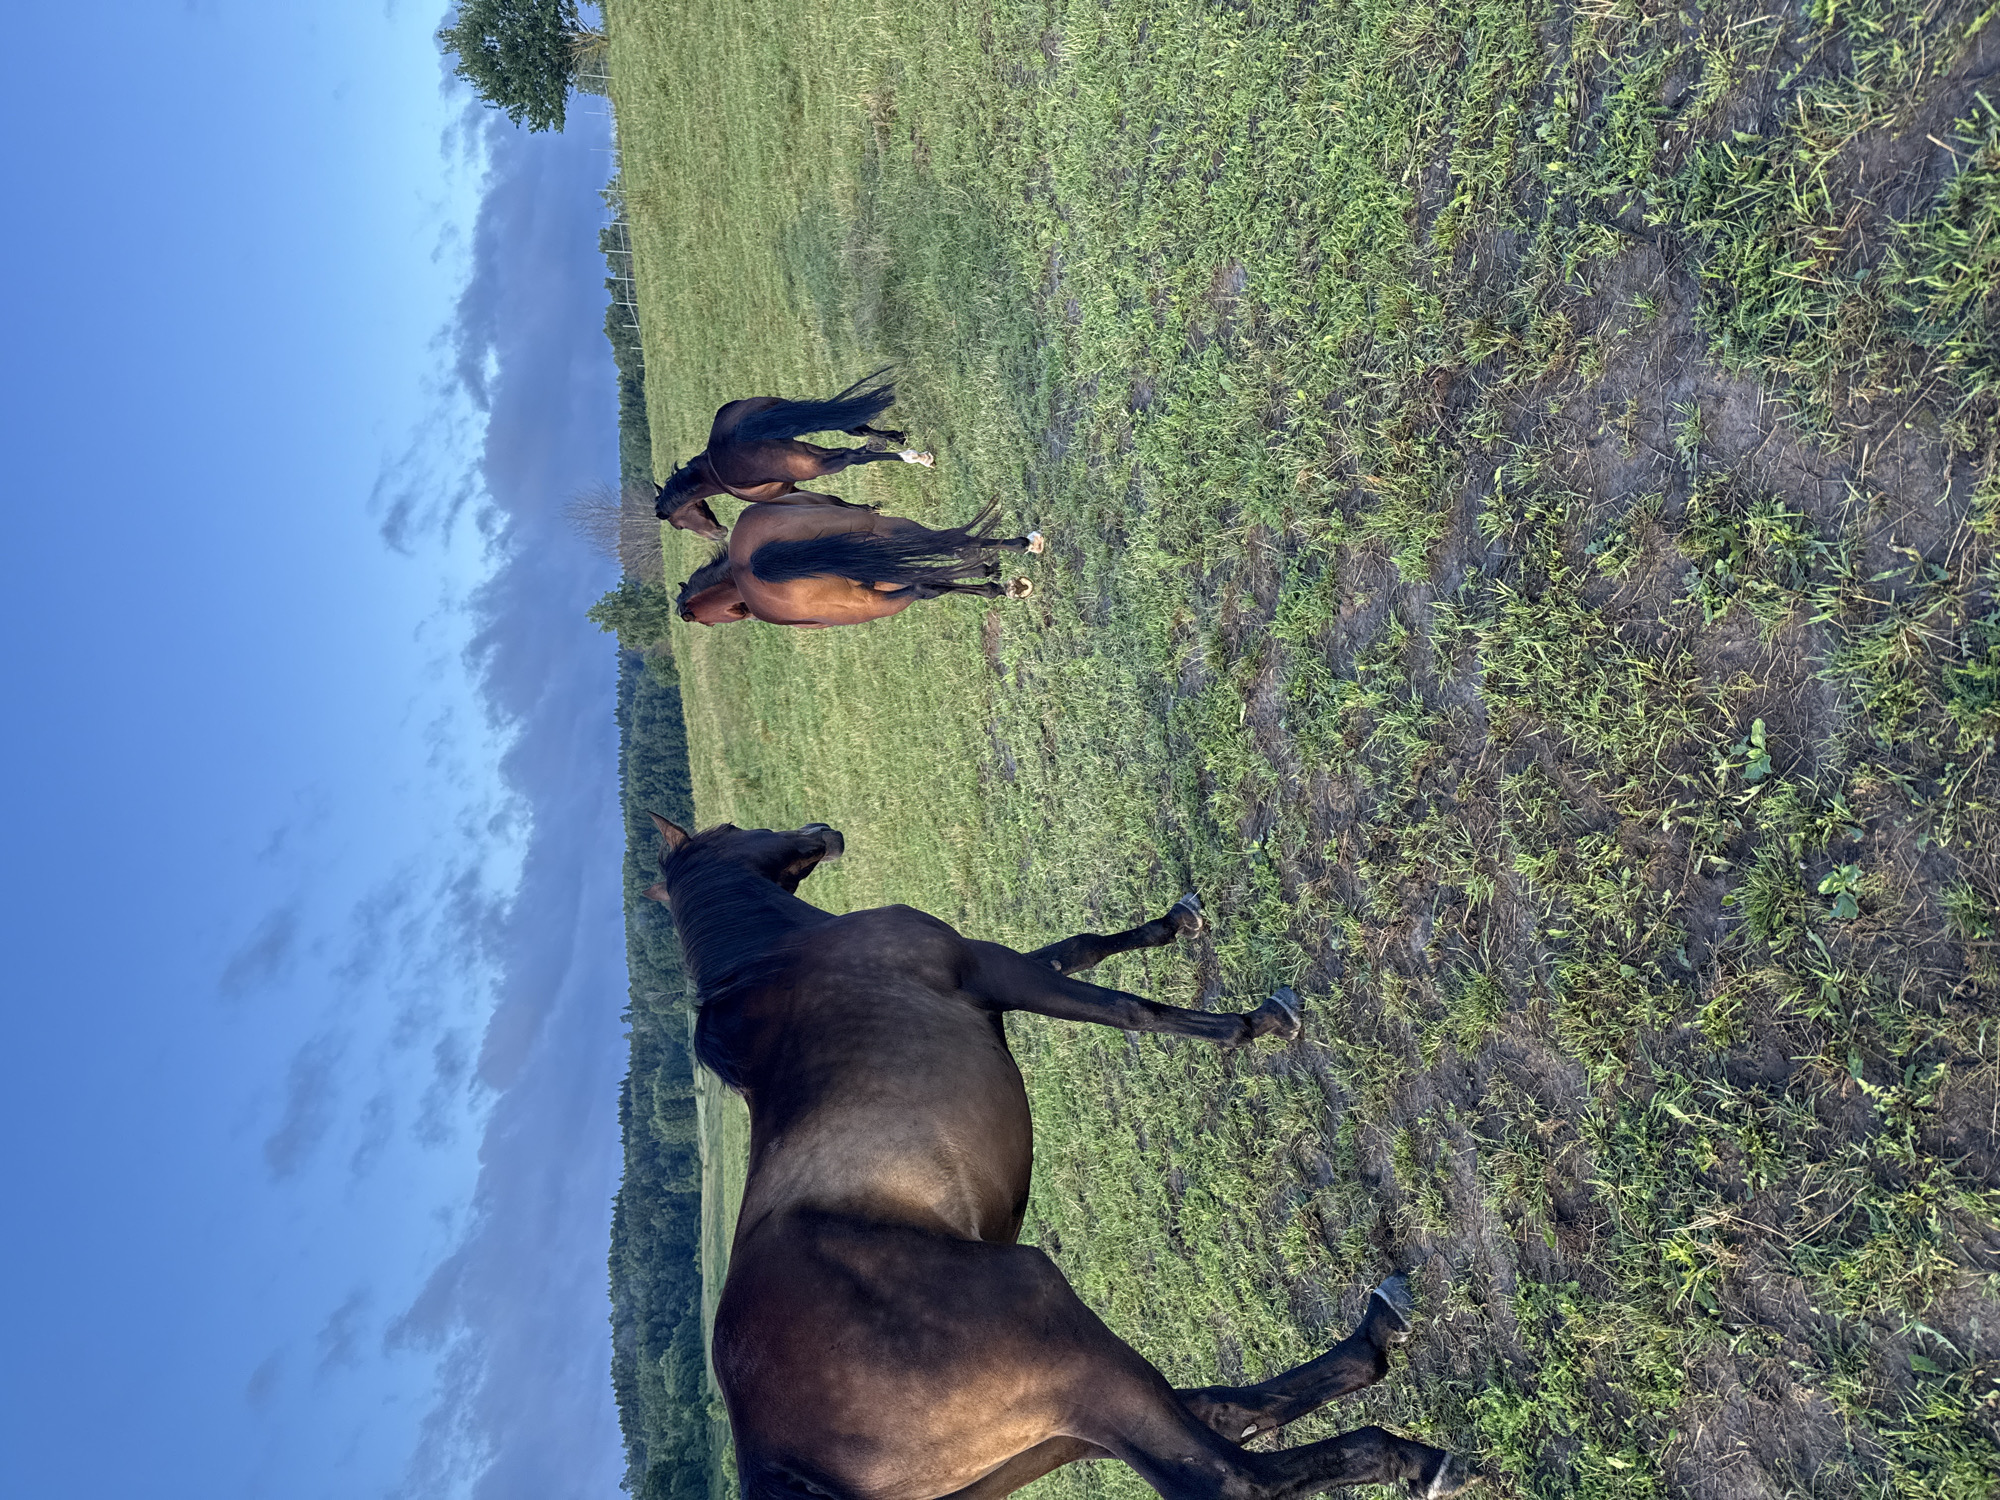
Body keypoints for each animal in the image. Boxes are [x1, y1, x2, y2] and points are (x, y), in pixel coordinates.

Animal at [642, 816, 1476, 1500]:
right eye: (731, 828)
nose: (822, 832)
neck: (776, 960)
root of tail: (769, 1458)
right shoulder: (991, 968)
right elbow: (1131, 1009)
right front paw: (1256, 1023)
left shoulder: (998, 974)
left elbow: (1079, 946)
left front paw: (1177, 921)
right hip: (1058, 1343)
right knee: (1229, 1477)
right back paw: (1416, 1457)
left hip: (1041, 1435)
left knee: (1218, 1413)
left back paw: (1378, 1334)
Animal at [655, 369, 936, 541]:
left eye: (678, 525)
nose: (719, 534)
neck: (711, 474)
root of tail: (738, 431)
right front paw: (869, 508)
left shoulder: (792, 487)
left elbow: (830, 498)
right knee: (854, 429)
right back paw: (896, 438)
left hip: (814, 463)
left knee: (851, 457)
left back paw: (917, 457)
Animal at [676, 499, 1043, 628]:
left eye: (707, 623)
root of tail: (756, 564)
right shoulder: (889, 573)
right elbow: (938, 578)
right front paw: (989, 578)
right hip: (879, 593)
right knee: (934, 562)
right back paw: (1017, 558)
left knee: (941, 546)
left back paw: (1022, 547)